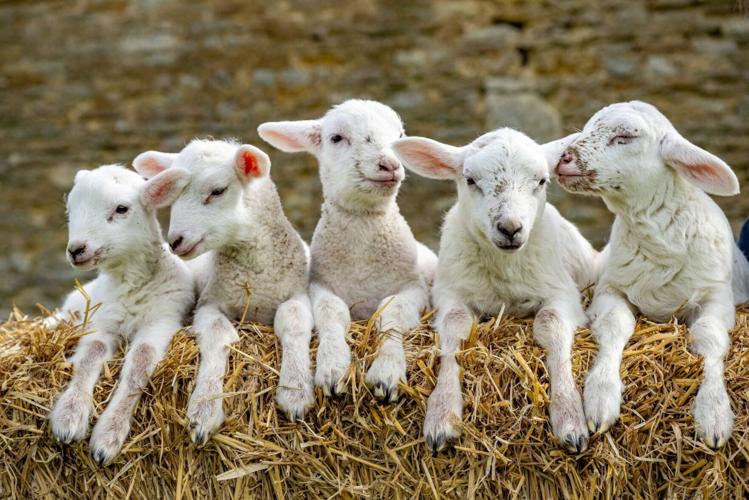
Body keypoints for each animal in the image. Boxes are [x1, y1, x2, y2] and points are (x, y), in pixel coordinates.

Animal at [46, 165, 195, 466]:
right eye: (70, 210)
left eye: (122, 209)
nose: (76, 249)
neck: (130, 284)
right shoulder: (102, 321)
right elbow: (91, 355)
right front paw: (69, 417)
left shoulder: (161, 320)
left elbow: (141, 362)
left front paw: (108, 435)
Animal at [132, 139, 312, 443]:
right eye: (174, 196)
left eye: (217, 191)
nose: (176, 241)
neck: (256, 278)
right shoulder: (209, 302)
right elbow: (218, 333)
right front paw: (204, 408)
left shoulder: (297, 293)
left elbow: (294, 318)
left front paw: (296, 390)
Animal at [258, 99, 438, 402]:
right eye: (336, 138)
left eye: (400, 136)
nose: (390, 164)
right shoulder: (319, 285)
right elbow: (332, 312)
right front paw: (333, 368)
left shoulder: (414, 288)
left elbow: (391, 312)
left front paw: (387, 372)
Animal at [392, 129, 597, 453]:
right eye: (470, 180)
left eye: (542, 181)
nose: (510, 228)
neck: (504, 273)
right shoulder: (449, 293)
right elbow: (455, 324)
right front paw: (442, 414)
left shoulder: (564, 293)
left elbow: (550, 321)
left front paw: (569, 416)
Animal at [554, 100, 749, 448]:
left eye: (624, 137)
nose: (564, 158)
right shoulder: (610, 289)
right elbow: (614, 326)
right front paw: (600, 399)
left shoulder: (717, 296)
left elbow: (710, 337)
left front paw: (714, 414)